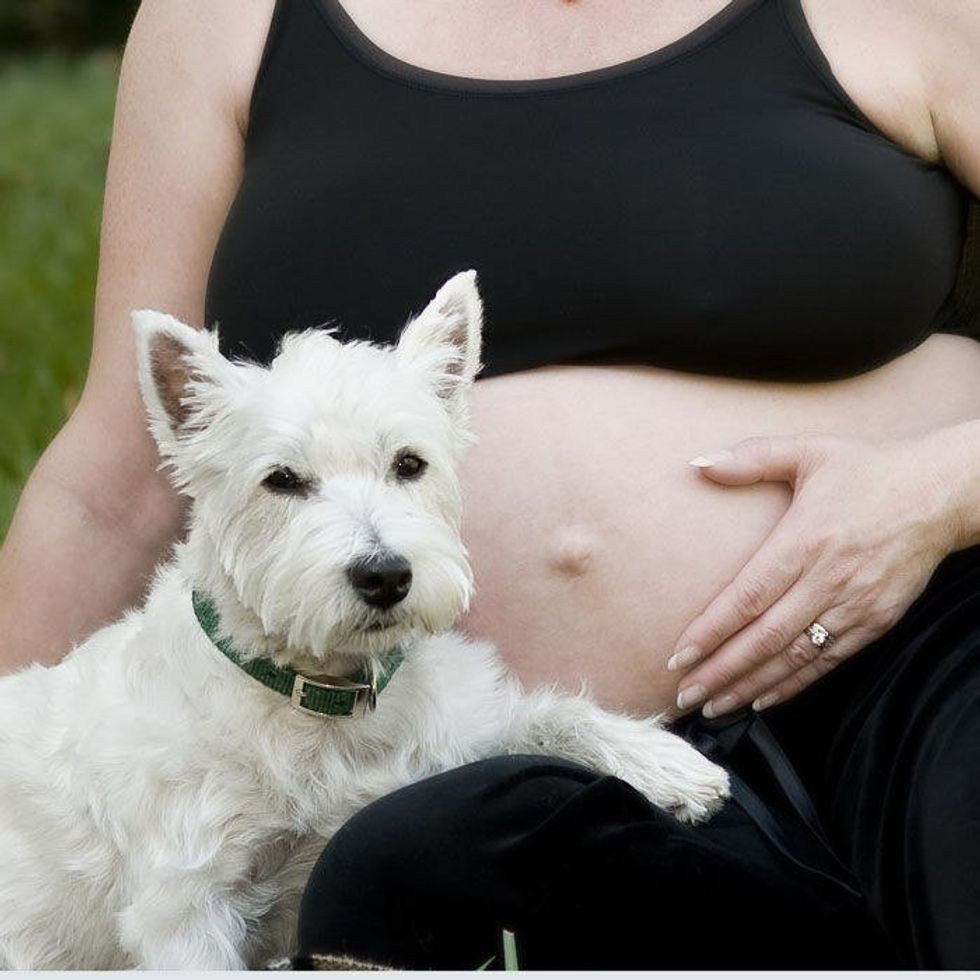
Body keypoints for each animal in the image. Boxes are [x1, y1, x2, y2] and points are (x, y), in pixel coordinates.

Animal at [0, 272, 724, 968]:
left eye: (408, 463)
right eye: (282, 479)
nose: (385, 577)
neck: (322, 698)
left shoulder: (450, 738)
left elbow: (542, 714)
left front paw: (671, 767)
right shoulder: (185, 904)